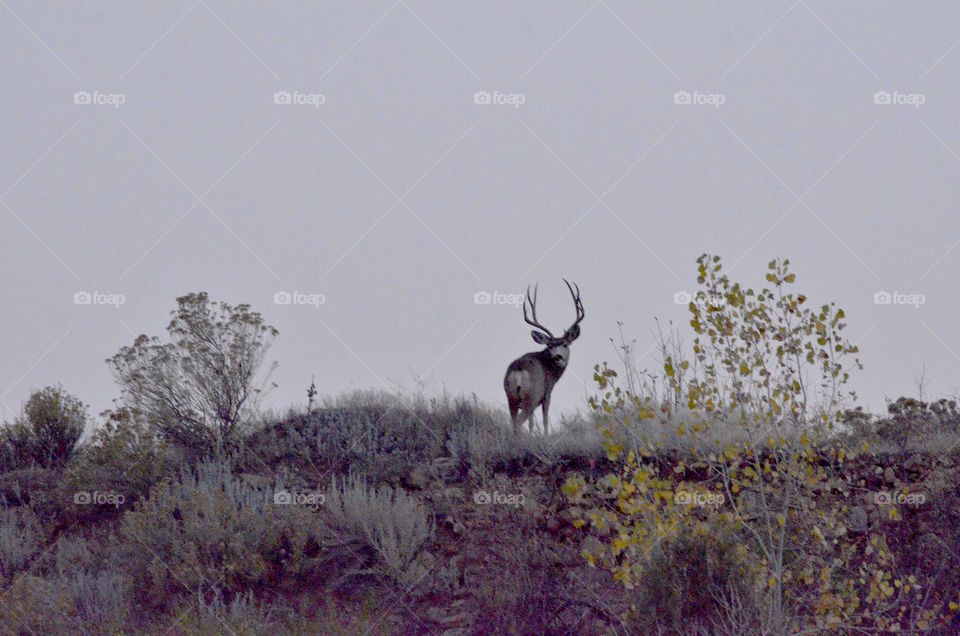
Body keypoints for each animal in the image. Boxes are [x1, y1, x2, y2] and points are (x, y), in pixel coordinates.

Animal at [503, 280, 584, 435]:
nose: (558, 356)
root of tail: (518, 372)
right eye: (550, 346)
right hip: (532, 397)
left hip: (511, 398)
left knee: (514, 423)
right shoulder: (546, 394)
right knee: (520, 422)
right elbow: (545, 421)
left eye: (565, 344)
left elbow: (533, 423)